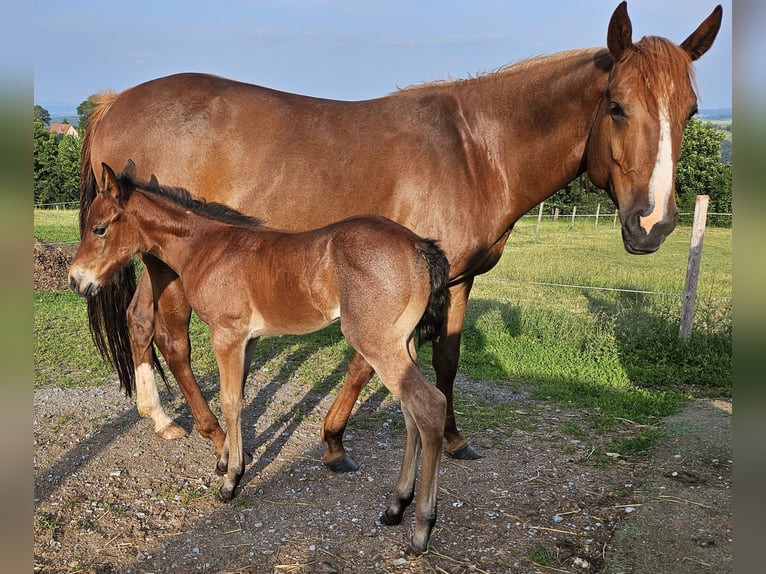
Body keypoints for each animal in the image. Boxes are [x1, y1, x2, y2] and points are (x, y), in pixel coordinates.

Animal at [69, 160, 450, 555]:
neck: (206, 247)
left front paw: (231, 481)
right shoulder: (248, 340)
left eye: (99, 228)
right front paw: (226, 460)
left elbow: (230, 400)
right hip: (402, 343)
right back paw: (396, 506)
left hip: (377, 342)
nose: (76, 281)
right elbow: (237, 397)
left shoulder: (227, 334)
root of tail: (420, 245)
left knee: (430, 406)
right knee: (410, 412)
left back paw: (421, 528)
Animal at [78, 2, 722, 472]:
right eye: (617, 106)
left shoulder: (456, 280)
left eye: (691, 111)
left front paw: (455, 438)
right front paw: (333, 441)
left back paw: (161, 418)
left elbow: (446, 361)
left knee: (140, 322)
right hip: (164, 261)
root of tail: (115, 102)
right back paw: (209, 431)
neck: (476, 150)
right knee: (168, 335)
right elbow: (367, 365)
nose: (652, 223)